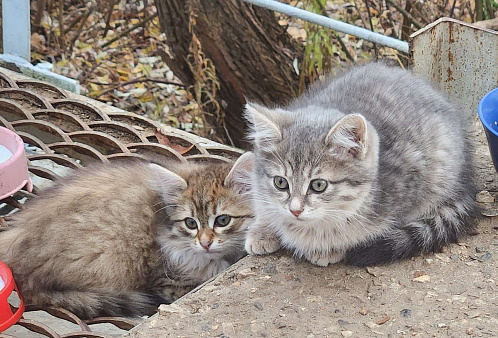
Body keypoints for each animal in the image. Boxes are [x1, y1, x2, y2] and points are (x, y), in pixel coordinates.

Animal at [244, 63, 474, 266]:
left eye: (318, 185)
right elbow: (263, 202)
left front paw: (326, 247)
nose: (295, 211)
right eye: (280, 182)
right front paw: (263, 229)